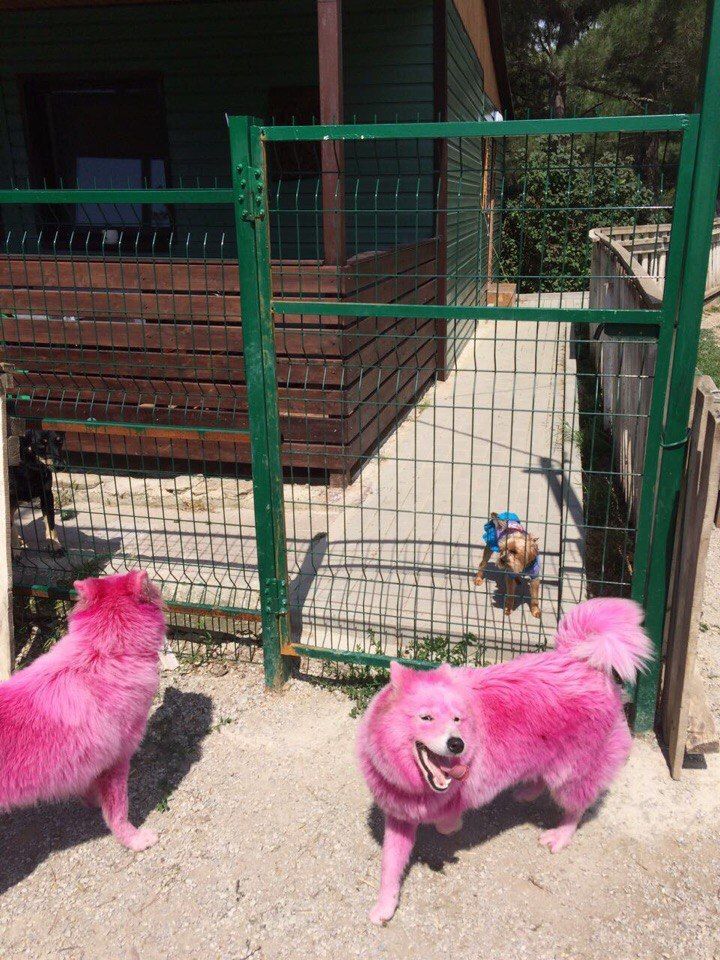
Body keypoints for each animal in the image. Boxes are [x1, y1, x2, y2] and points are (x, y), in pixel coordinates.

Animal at [356, 600, 652, 924]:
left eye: (457, 719)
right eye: (426, 717)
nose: (457, 744)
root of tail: (585, 661)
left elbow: (448, 819)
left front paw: (450, 823)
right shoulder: (399, 816)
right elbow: (390, 866)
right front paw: (385, 906)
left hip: (571, 772)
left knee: (576, 806)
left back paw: (560, 835)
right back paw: (526, 792)